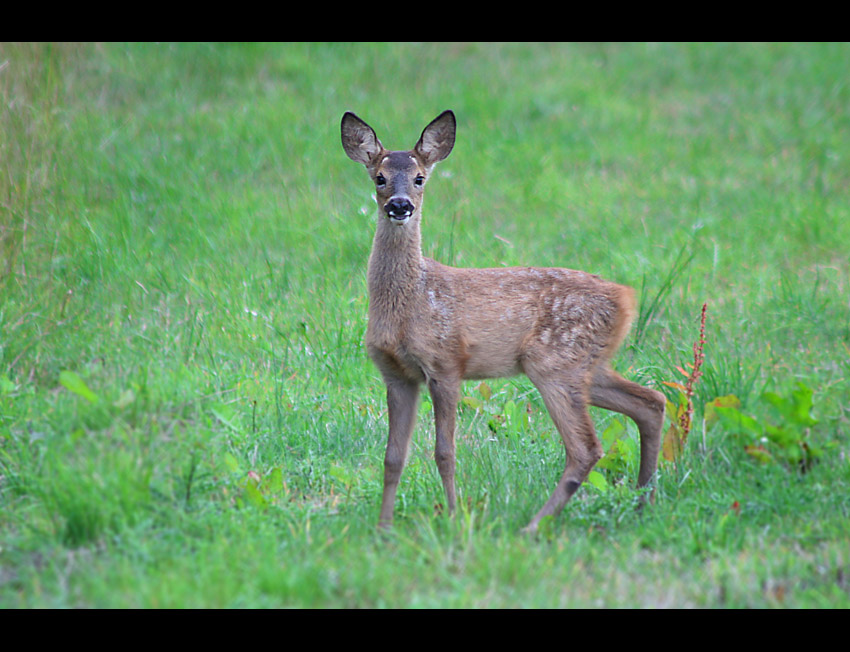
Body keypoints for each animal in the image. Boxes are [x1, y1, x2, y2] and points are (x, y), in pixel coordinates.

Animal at [338, 109, 664, 532]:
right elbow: (393, 457)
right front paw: (383, 529)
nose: (399, 205)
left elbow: (445, 452)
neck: (409, 304)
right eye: (379, 176)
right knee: (651, 402)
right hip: (586, 367)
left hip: (556, 362)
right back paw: (644, 504)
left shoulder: (446, 363)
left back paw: (534, 526)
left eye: (419, 178)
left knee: (586, 448)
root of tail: (627, 299)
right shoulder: (396, 374)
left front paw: (455, 518)